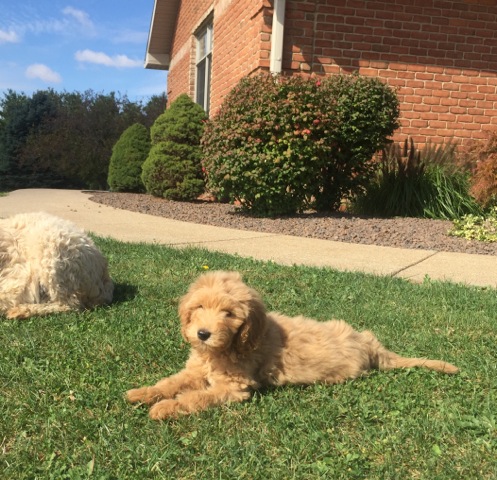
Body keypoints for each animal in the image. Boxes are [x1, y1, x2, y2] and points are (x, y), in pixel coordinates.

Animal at [127, 270, 458, 420]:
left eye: (229, 314)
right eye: (198, 307)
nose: (203, 334)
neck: (230, 347)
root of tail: (369, 344)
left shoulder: (233, 387)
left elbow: (196, 397)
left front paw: (165, 408)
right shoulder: (194, 370)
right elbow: (170, 382)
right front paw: (144, 393)